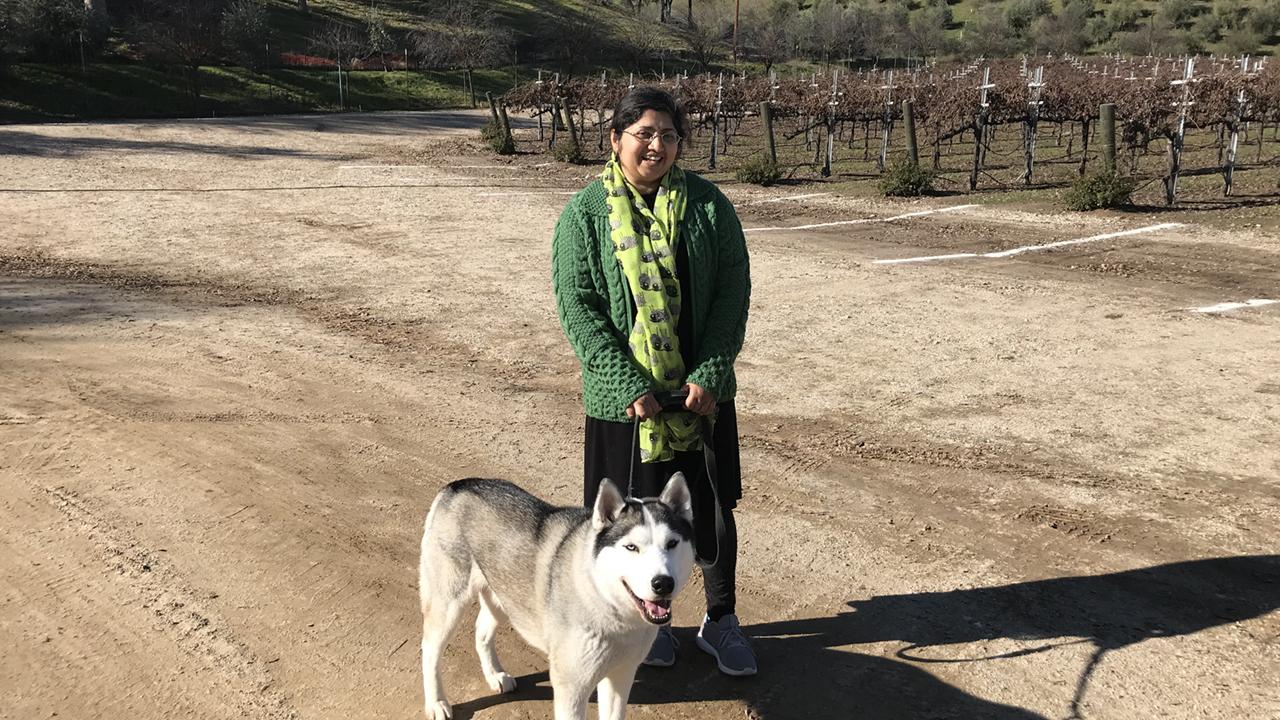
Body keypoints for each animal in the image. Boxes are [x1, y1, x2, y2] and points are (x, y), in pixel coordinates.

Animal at [419, 471, 696, 717]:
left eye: (672, 543)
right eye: (631, 547)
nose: (663, 583)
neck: (604, 600)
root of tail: (457, 485)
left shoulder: (620, 676)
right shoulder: (572, 688)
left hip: (504, 597)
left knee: (482, 630)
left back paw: (494, 675)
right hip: (450, 605)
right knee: (430, 649)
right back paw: (436, 702)